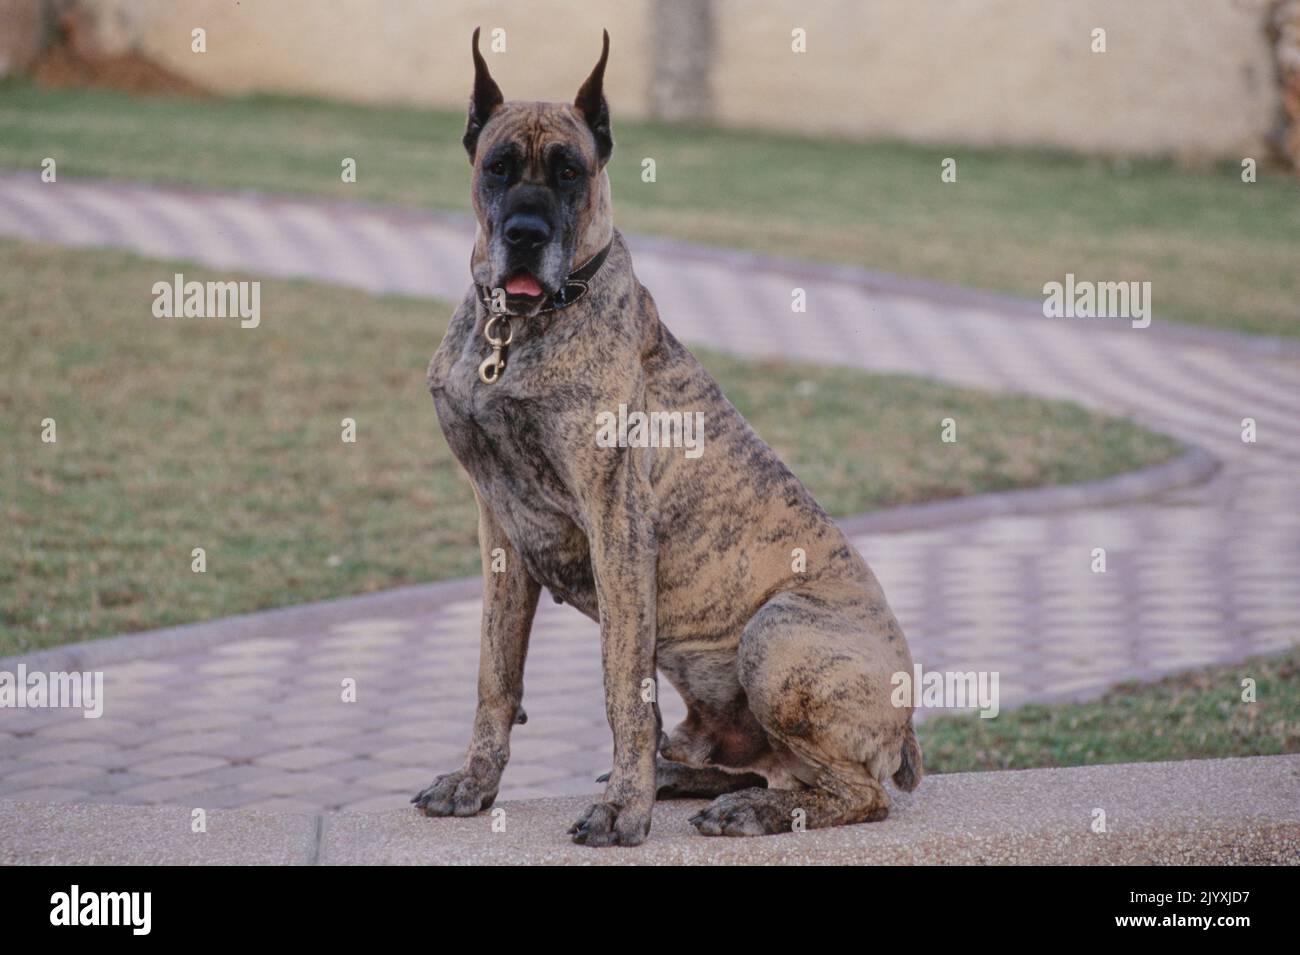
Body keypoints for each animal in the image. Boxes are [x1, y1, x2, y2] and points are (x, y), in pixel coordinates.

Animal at [416, 29, 925, 847]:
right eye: (498, 167)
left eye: (571, 171)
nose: (525, 236)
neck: (515, 330)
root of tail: (906, 729)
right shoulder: (498, 527)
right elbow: (496, 674)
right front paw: (475, 782)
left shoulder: (618, 523)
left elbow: (623, 689)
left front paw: (624, 811)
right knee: (759, 764)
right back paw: (688, 779)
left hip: (777, 633)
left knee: (854, 791)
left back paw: (744, 808)